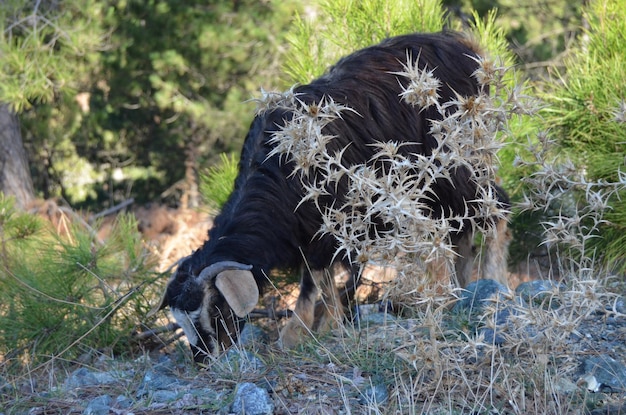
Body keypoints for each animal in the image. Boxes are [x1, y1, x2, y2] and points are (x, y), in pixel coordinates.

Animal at [154, 30, 510, 362]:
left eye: (214, 308)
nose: (204, 360)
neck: (275, 169)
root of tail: (469, 49)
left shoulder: (329, 222)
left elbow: (315, 279)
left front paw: (305, 330)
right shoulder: (310, 229)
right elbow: (321, 277)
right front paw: (319, 326)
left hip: (460, 159)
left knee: (494, 209)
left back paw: (492, 286)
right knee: (460, 228)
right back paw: (460, 291)